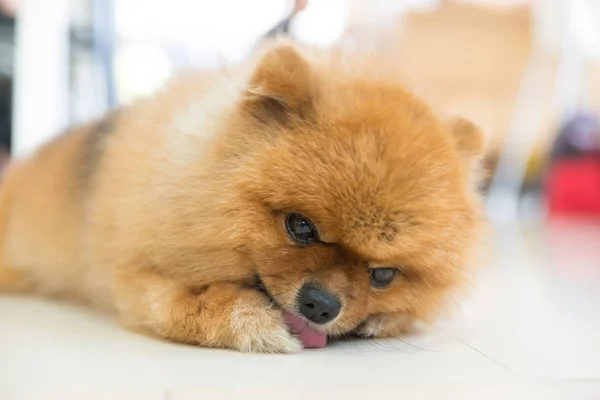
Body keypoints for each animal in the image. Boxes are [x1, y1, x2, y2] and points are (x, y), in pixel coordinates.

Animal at [0, 41, 486, 354]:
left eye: (383, 275)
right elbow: (182, 306)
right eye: (300, 226)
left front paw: (383, 319)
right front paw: (246, 318)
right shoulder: (129, 275)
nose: (321, 305)